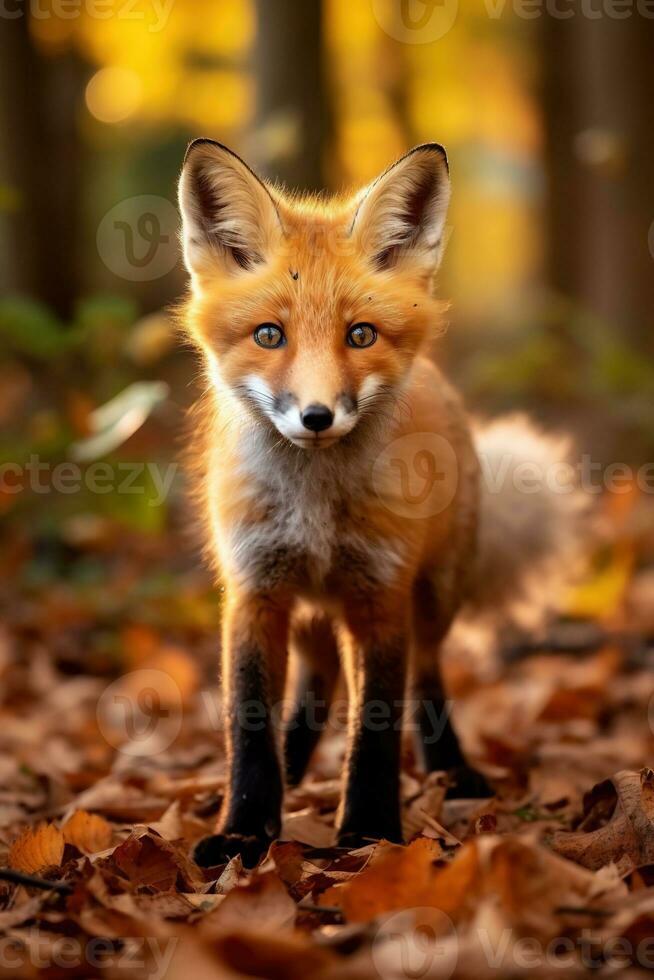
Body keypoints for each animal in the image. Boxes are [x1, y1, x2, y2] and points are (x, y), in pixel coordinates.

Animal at [176, 140, 584, 864]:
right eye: (270, 335)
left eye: (360, 335)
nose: (315, 416)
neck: (316, 509)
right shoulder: (255, 591)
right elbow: (249, 726)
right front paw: (246, 828)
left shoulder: (380, 591)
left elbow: (377, 723)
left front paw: (367, 832)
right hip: (308, 609)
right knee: (315, 687)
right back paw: (292, 771)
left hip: (433, 597)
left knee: (425, 677)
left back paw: (451, 770)